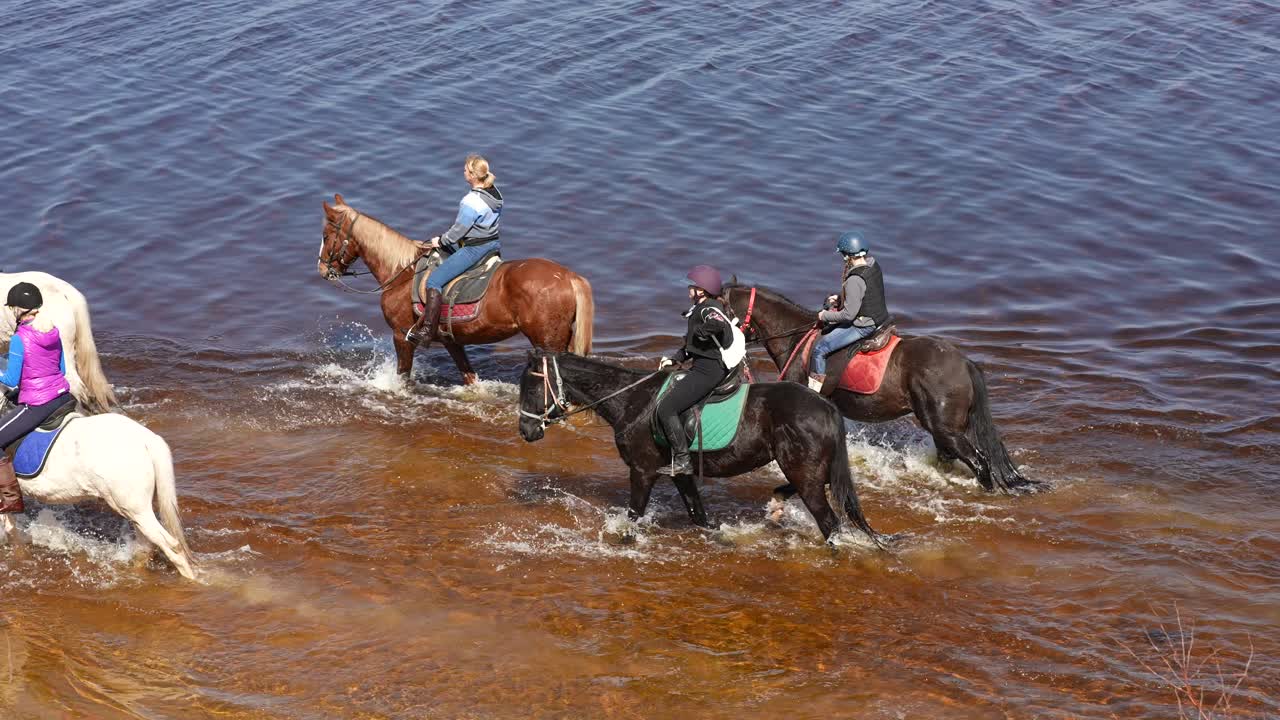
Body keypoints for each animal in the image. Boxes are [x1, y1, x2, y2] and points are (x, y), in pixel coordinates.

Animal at [0, 396, 197, 580]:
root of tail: (147, 440)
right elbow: (11, 528)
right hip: (136, 511)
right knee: (146, 546)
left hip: (133, 508)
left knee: (172, 546)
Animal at [318, 195, 594, 384]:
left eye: (326, 235)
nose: (322, 269)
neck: (402, 274)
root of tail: (569, 277)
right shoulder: (452, 341)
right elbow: (470, 377)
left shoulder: (401, 335)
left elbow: (403, 378)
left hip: (548, 343)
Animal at [517, 350, 882, 546]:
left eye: (531, 387)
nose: (526, 431)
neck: (630, 401)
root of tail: (826, 405)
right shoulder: (681, 474)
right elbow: (699, 516)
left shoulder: (643, 471)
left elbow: (634, 516)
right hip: (808, 469)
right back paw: (777, 504)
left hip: (804, 473)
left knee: (829, 523)